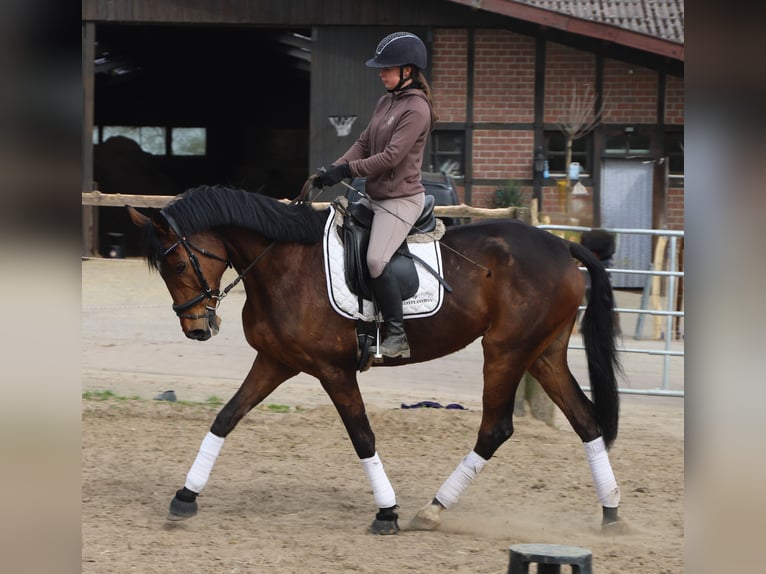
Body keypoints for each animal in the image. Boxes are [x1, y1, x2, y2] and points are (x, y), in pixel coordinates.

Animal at [127, 183, 624, 534]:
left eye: (177, 265)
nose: (196, 329)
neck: (284, 264)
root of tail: (561, 245)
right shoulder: (275, 361)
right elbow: (225, 419)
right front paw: (185, 497)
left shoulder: (334, 371)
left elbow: (362, 436)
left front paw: (387, 513)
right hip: (543, 354)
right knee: (586, 421)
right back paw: (612, 513)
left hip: (505, 352)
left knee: (496, 429)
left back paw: (433, 509)